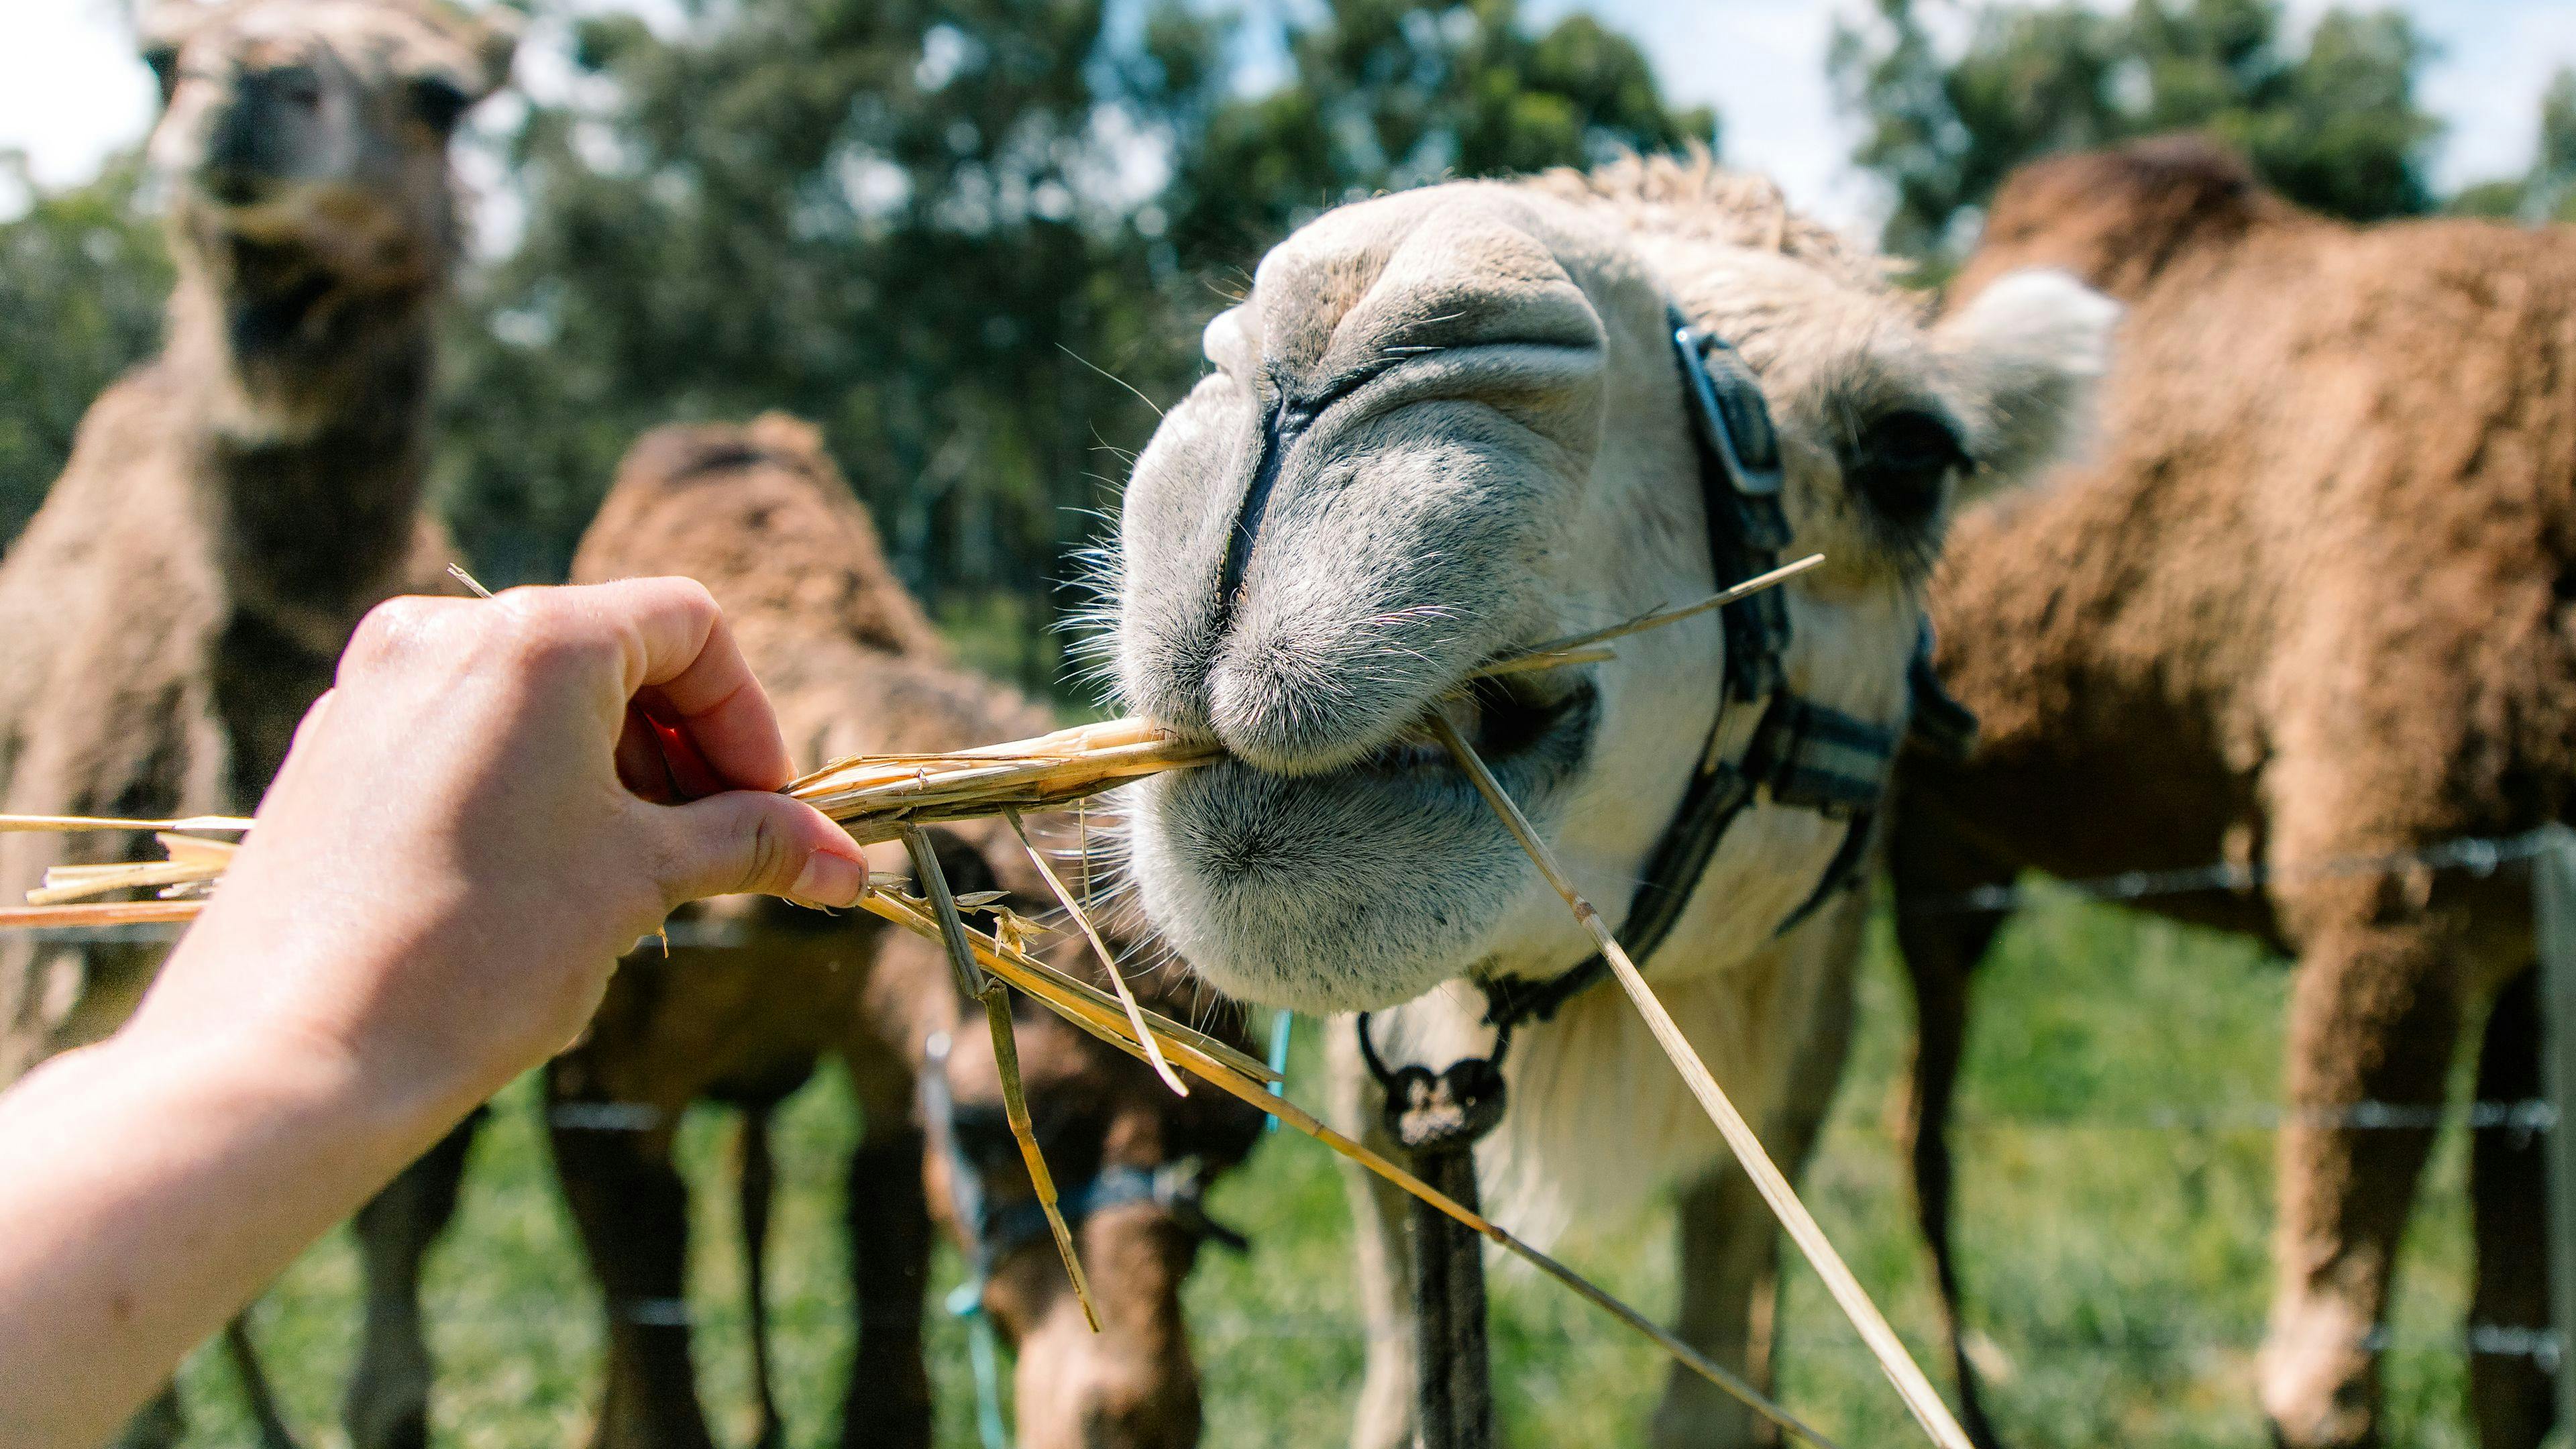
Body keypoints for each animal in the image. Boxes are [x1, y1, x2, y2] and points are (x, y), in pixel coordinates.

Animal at [348, 416, 1266, 1449]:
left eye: (1235, 1141)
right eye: (987, 1123)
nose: (1143, 1416)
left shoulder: (890, 1054)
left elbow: (882, 1322)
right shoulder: (598, 1089)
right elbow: (651, 1320)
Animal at [1889, 135, 2576, 1449]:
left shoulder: (2531, 941)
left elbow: (2513, 1361)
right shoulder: (2388, 906)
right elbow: (2321, 1378)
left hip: (1949, 859)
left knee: (1915, 1128)